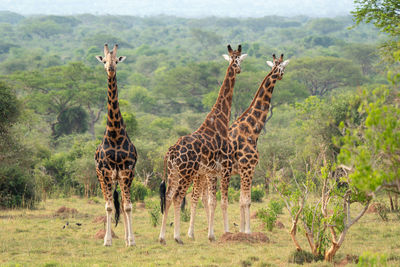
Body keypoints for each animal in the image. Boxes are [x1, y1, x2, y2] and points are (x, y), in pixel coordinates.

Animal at [157, 44, 245, 245]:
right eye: (235, 60)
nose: (238, 69)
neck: (220, 121)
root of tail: (171, 152)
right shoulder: (225, 169)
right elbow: (222, 201)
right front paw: (222, 233)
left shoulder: (211, 172)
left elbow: (212, 201)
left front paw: (211, 235)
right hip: (186, 173)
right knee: (177, 197)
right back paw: (177, 237)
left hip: (173, 173)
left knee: (168, 197)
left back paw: (162, 237)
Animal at [188, 54, 290, 237]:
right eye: (280, 67)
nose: (281, 75)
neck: (252, 130)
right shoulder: (248, 167)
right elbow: (246, 201)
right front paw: (247, 231)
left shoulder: (243, 170)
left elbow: (242, 200)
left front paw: (242, 230)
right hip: (204, 174)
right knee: (199, 197)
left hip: (205, 175)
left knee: (201, 198)